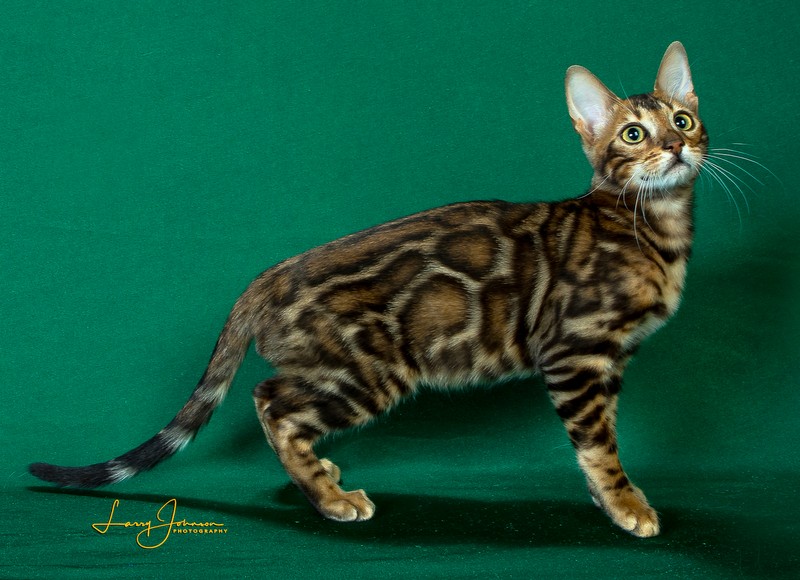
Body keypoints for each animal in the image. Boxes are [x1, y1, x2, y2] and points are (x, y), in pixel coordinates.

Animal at [30, 41, 706, 538]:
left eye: (683, 120)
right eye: (632, 135)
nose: (676, 145)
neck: (654, 227)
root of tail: (272, 272)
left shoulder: (607, 364)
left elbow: (601, 438)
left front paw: (606, 500)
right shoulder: (577, 353)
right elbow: (599, 444)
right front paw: (626, 505)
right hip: (368, 373)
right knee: (271, 400)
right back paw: (329, 497)